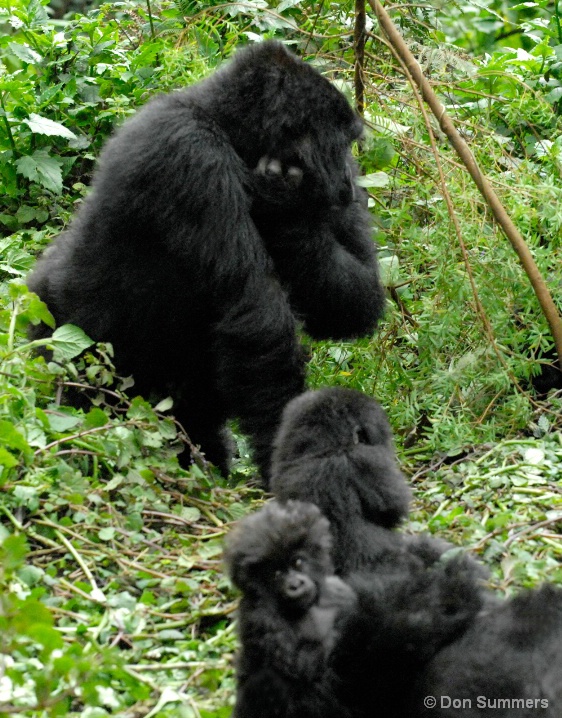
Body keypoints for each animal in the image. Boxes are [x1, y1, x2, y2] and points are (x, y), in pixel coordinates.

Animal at [27, 42, 384, 480]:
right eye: (340, 144)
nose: (350, 182)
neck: (227, 127)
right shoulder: (191, 155)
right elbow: (258, 323)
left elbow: (358, 299)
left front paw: (287, 211)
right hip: (56, 339)